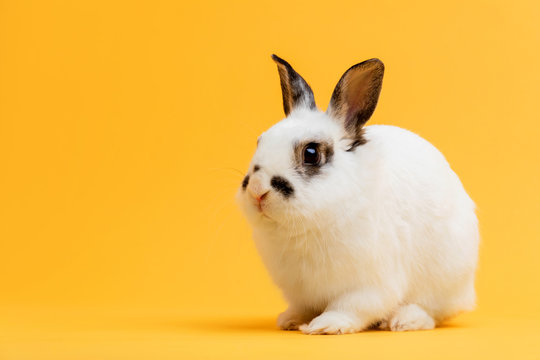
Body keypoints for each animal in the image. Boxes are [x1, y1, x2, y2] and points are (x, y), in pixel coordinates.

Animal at [234, 54, 478, 334]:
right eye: (260, 141)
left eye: (311, 153)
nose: (257, 190)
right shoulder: (300, 292)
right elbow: (303, 307)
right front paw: (290, 320)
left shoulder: (369, 285)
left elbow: (350, 307)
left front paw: (326, 325)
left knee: (433, 312)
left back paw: (404, 320)